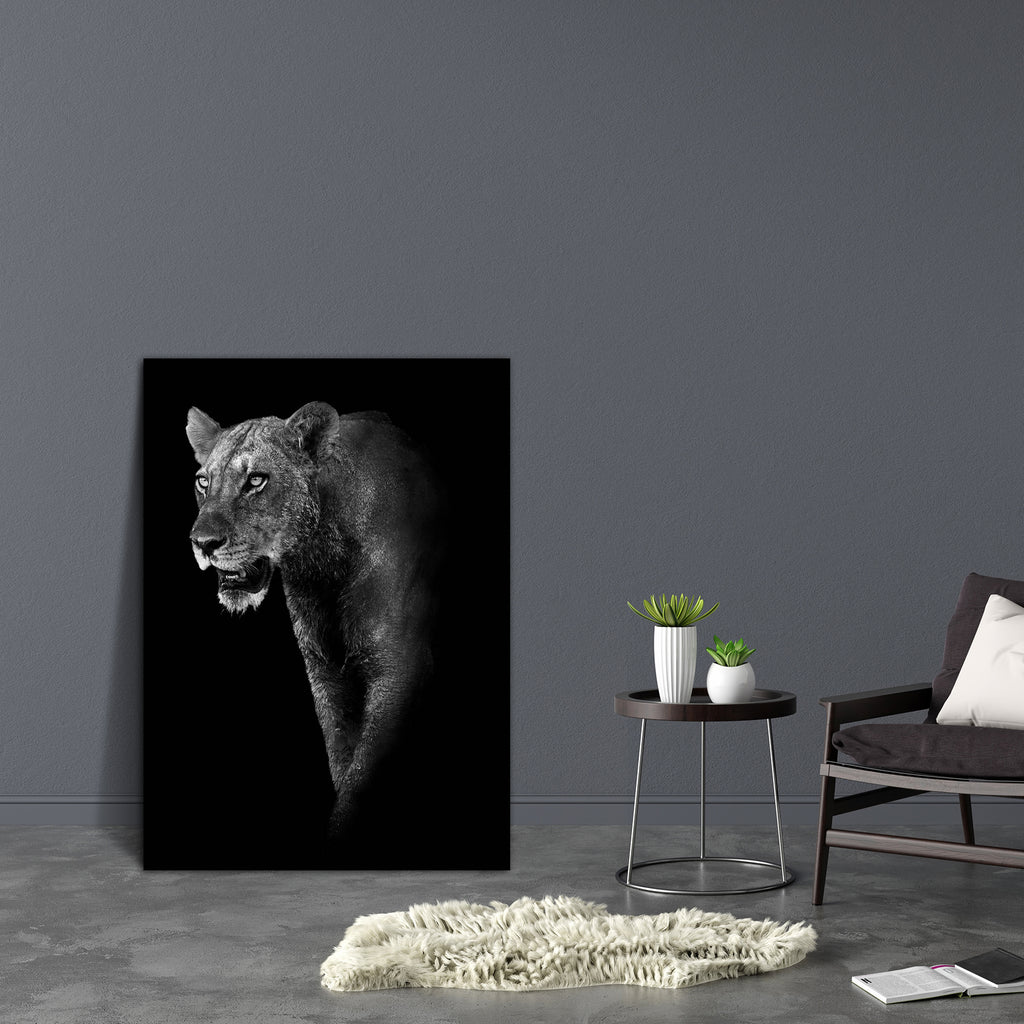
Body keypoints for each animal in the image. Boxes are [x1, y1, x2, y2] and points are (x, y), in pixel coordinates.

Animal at [186, 401, 443, 848]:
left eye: (256, 480)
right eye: (204, 481)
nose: (202, 543)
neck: (321, 563)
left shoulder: (400, 668)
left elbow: (361, 778)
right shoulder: (325, 671)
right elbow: (343, 758)